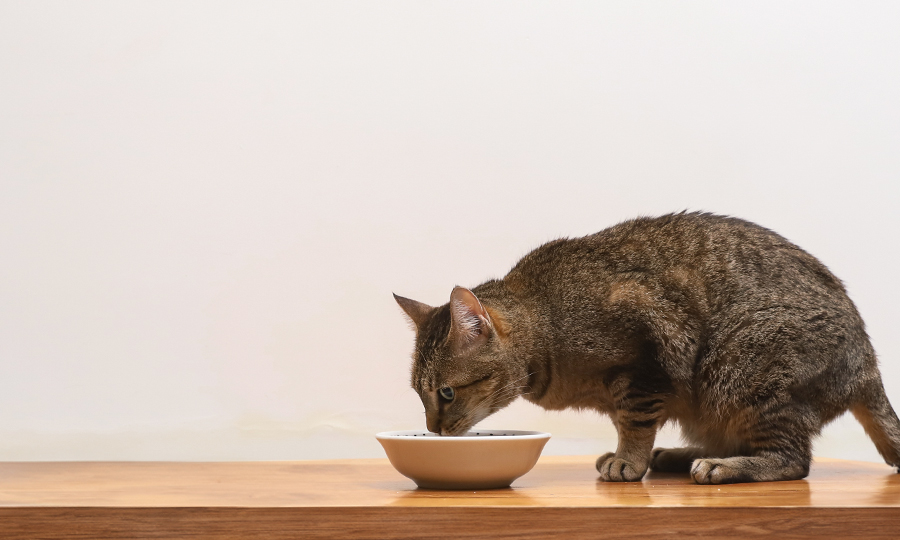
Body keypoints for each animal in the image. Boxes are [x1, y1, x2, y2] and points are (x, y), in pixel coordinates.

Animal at [394, 212, 900, 486]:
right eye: (419, 395)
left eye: (446, 393)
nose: (433, 429)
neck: (548, 319)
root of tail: (867, 363)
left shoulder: (646, 361)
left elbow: (634, 424)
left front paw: (627, 460)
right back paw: (681, 455)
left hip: (742, 369)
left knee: (794, 461)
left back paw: (720, 465)